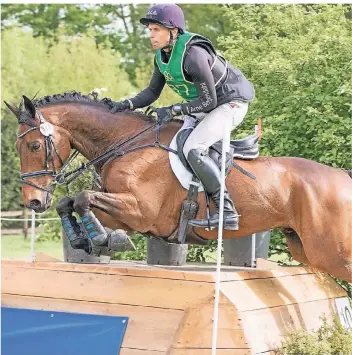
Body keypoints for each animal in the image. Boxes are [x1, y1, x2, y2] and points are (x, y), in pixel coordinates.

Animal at [5, 92, 352, 284]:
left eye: (34, 146)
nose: (33, 202)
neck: (126, 144)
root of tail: (343, 177)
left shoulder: (141, 211)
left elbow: (81, 197)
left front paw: (105, 239)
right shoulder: (126, 211)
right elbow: (70, 203)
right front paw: (89, 240)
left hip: (331, 251)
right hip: (304, 247)